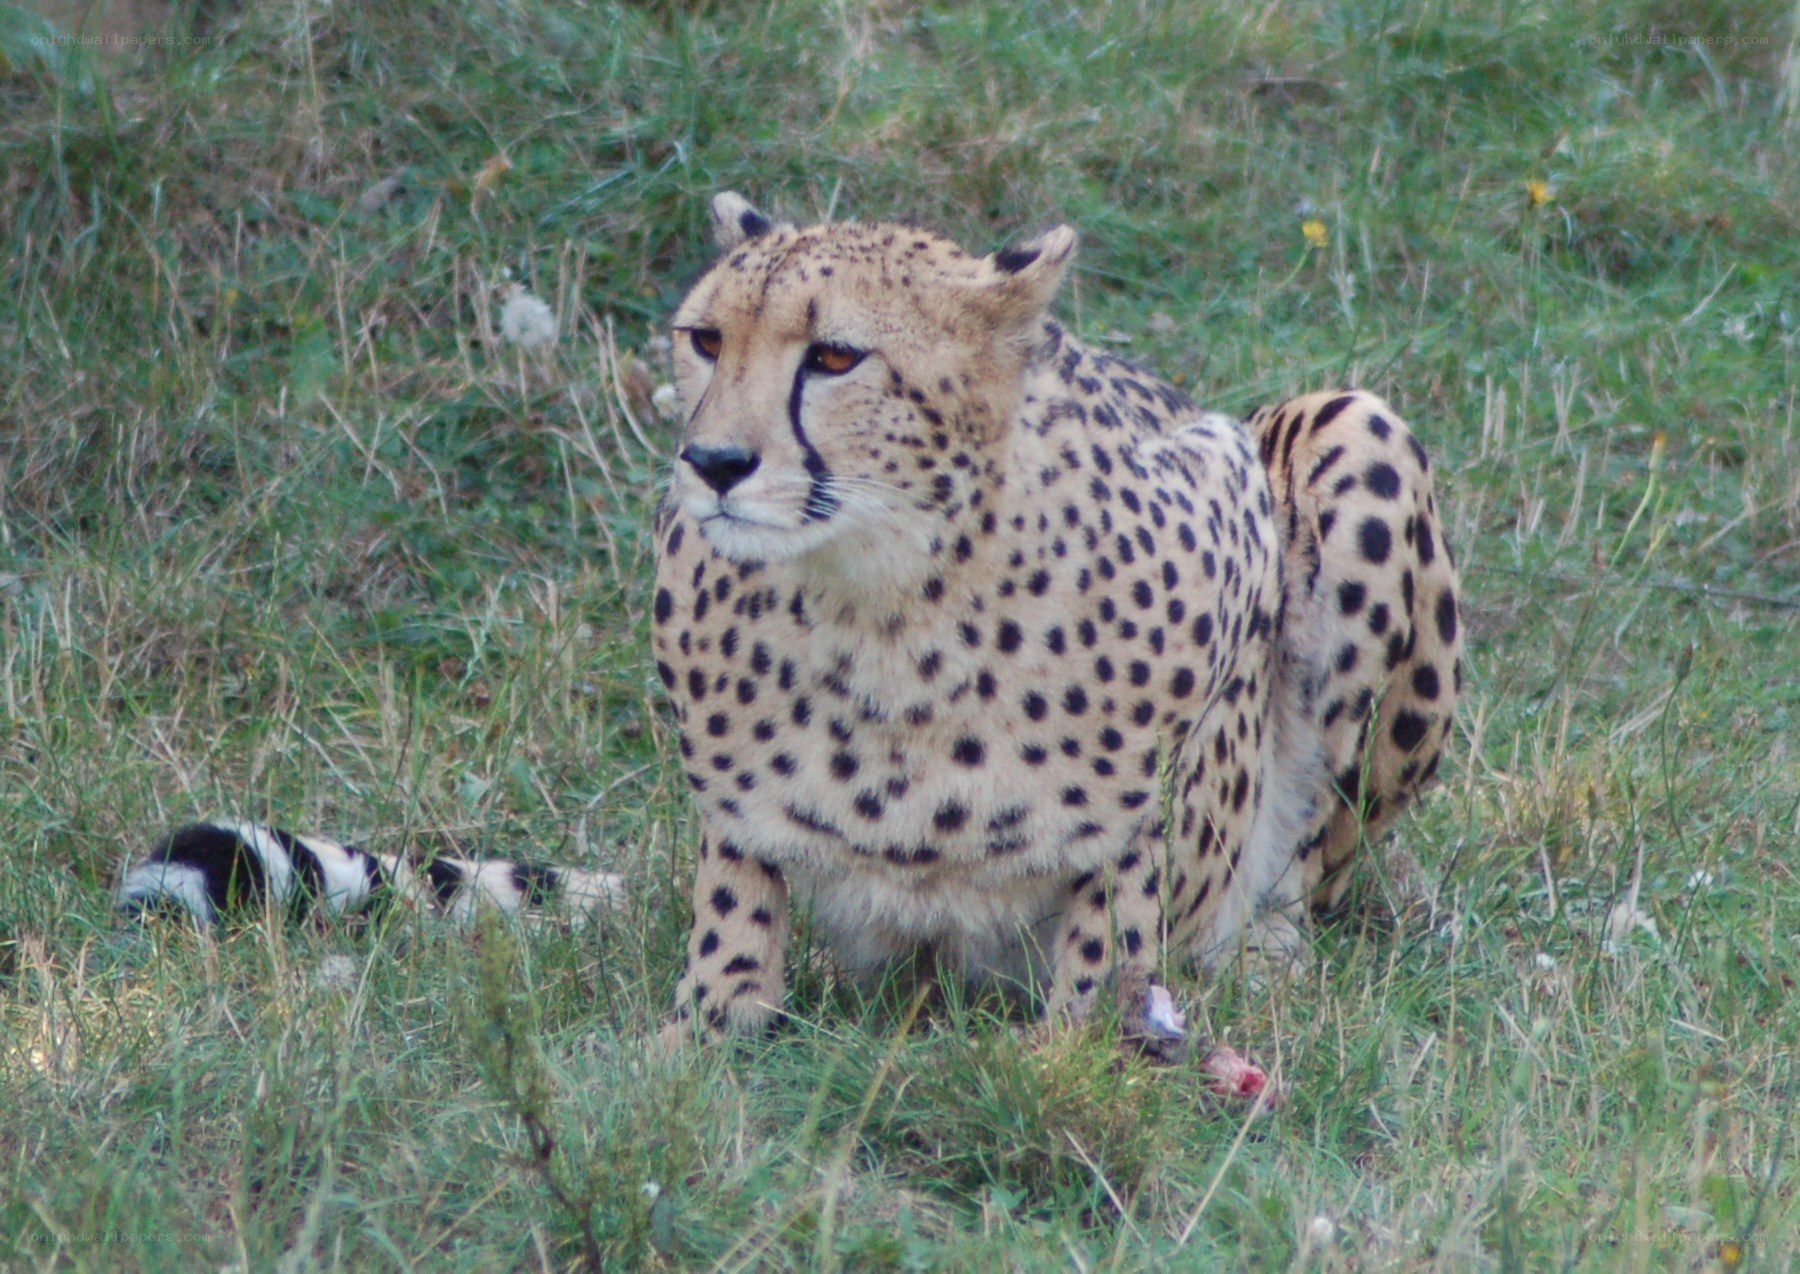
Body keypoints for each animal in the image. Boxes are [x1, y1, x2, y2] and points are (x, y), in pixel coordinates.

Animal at [652, 192, 1462, 1054]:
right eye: (706, 340)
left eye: (835, 357)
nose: (713, 462)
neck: (884, 613)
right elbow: (724, 935)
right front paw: (707, 1022)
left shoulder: (1224, 483)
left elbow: (1117, 903)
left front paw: (1084, 1036)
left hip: (1356, 427)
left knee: (1309, 855)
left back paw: (1267, 955)